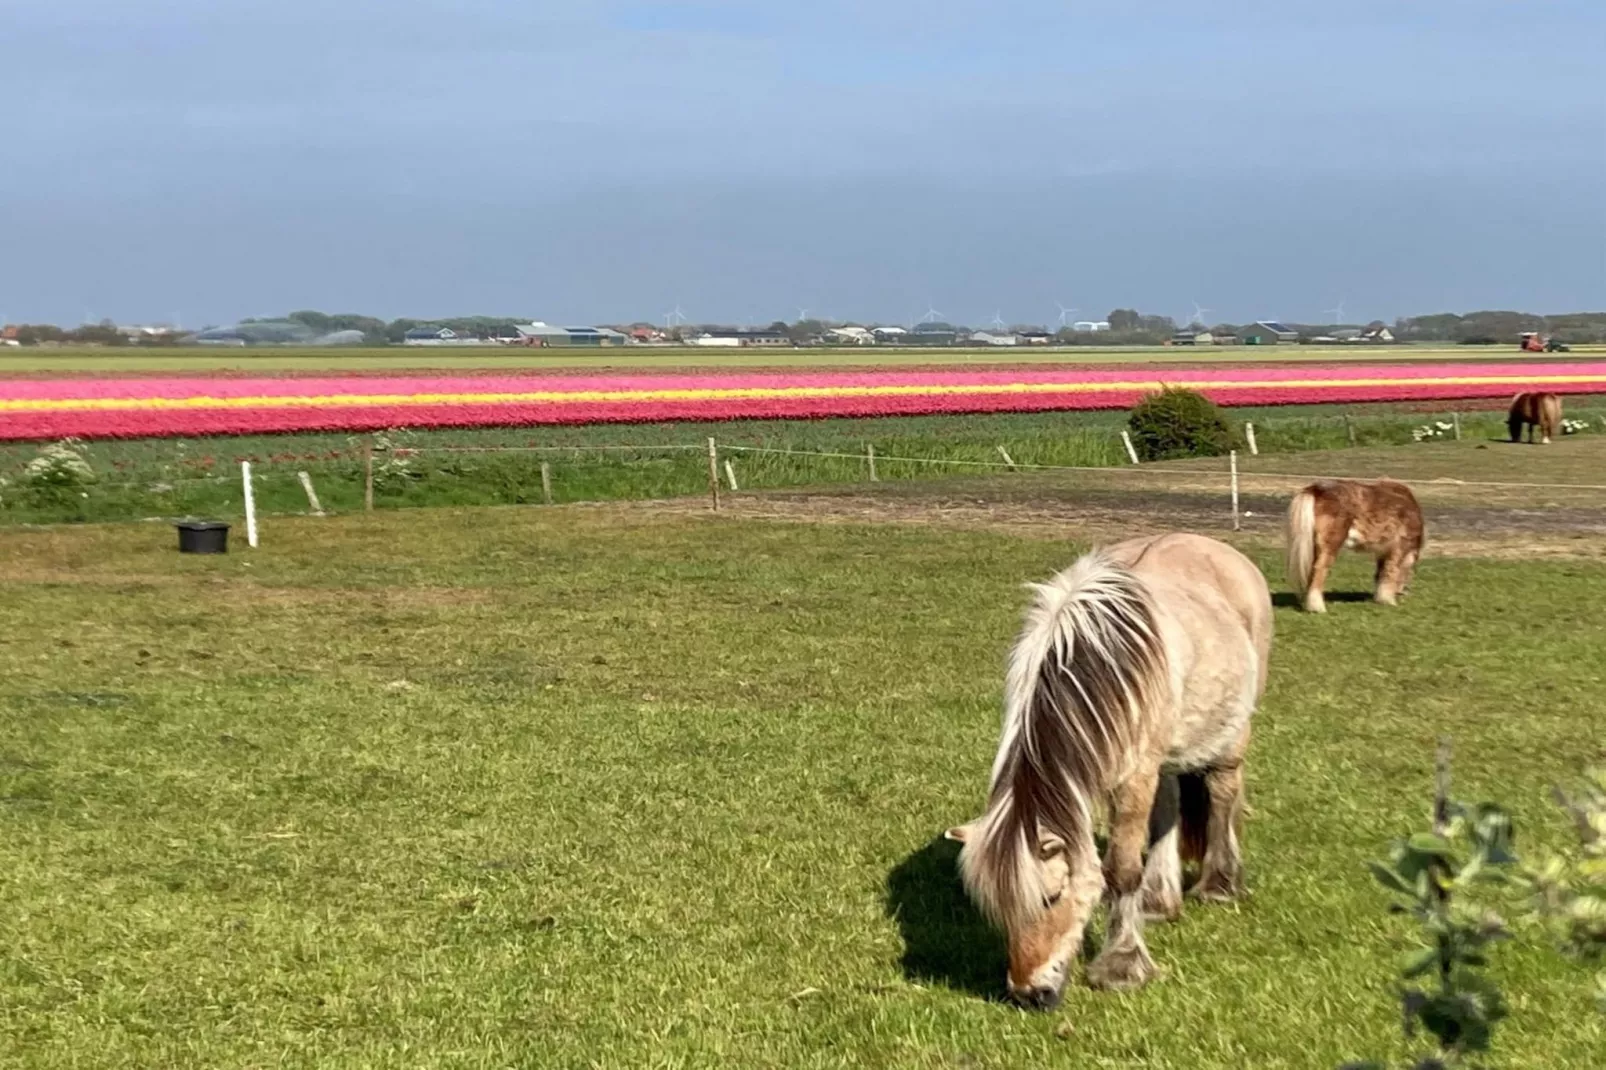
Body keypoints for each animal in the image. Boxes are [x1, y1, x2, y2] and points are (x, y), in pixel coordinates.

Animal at [937, 533, 1265, 1008]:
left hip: (1232, 730)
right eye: (998, 910)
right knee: (1168, 808)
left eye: (1052, 896)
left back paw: (1218, 885)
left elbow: (1121, 870)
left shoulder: (1133, 776)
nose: (1027, 994)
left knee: (1223, 790)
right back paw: (1158, 900)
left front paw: (1121, 965)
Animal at [1284, 478, 1426, 613]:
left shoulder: (1382, 552)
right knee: (1319, 571)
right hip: (1330, 546)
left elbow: (1380, 573)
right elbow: (1390, 572)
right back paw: (1317, 608)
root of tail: (1316, 489)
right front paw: (1388, 600)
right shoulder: (1398, 548)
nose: (1403, 592)